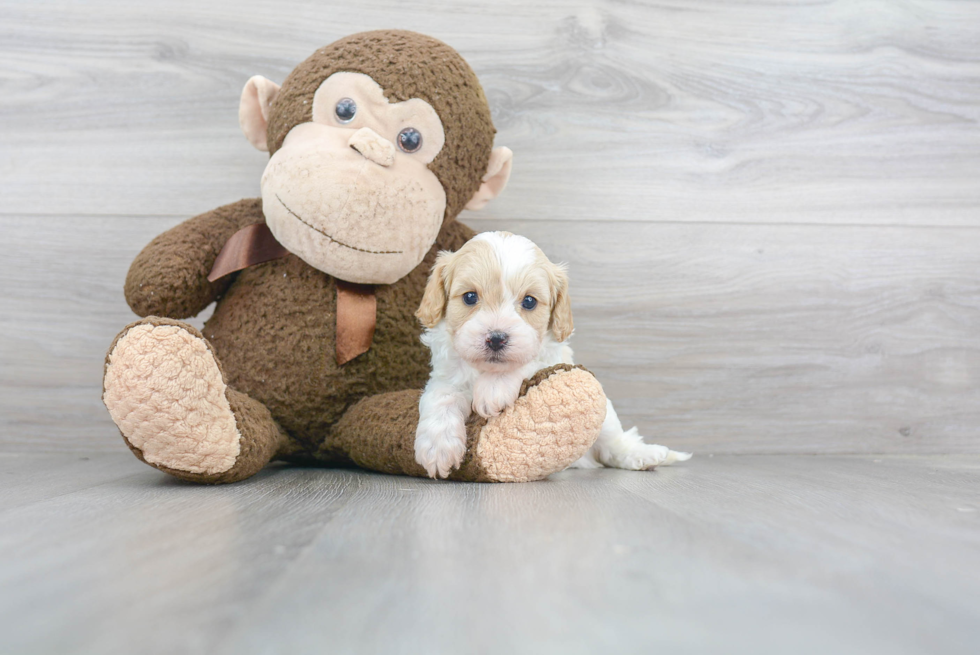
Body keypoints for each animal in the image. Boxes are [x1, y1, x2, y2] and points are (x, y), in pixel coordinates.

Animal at [412, 233, 688, 480]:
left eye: (529, 302)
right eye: (470, 297)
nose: (497, 338)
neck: (485, 369)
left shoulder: (553, 356)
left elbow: (529, 362)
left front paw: (493, 389)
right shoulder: (446, 376)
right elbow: (441, 397)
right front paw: (437, 448)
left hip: (607, 416)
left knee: (613, 444)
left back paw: (644, 455)